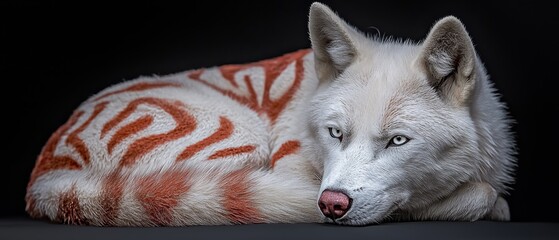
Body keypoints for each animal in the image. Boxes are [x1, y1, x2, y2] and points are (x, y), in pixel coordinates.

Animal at [26, 2, 516, 226]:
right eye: (335, 133)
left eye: (398, 140)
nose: (332, 204)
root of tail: (47, 175)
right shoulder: (286, 169)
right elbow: (482, 197)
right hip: (237, 141)